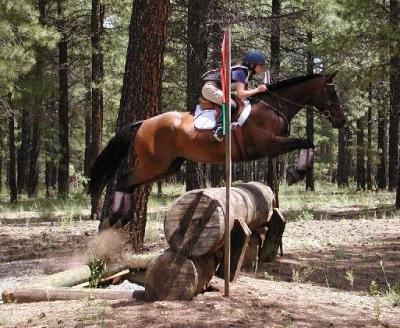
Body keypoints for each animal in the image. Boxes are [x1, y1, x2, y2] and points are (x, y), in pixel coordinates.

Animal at [89, 72, 346, 215]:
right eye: (332, 94)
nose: (341, 121)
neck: (274, 107)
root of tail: (143, 122)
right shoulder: (268, 145)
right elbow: (306, 140)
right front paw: (297, 173)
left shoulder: (273, 148)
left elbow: (308, 142)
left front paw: (297, 173)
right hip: (155, 164)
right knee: (124, 180)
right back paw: (117, 216)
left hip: (168, 166)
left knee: (128, 184)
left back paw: (120, 217)